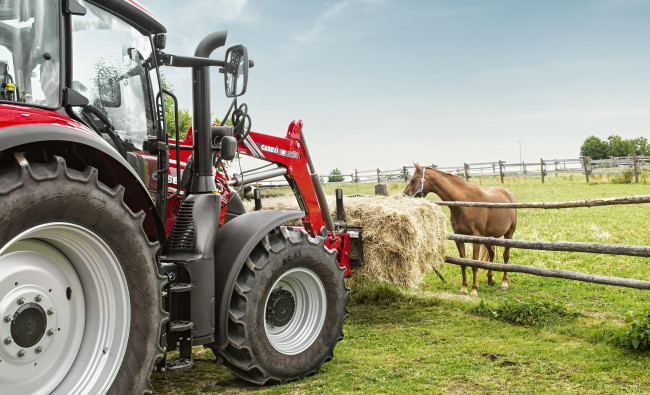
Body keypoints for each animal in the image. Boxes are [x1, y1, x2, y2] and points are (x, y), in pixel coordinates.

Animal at [402, 162, 512, 296]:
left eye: (413, 180)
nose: (403, 196)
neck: (465, 203)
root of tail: (507, 193)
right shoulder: (459, 238)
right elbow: (463, 263)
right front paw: (464, 288)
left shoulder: (476, 238)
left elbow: (474, 264)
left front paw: (474, 290)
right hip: (486, 237)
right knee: (491, 254)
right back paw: (490, 279)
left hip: (509, 234)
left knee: (505, 256)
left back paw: (504, 283)